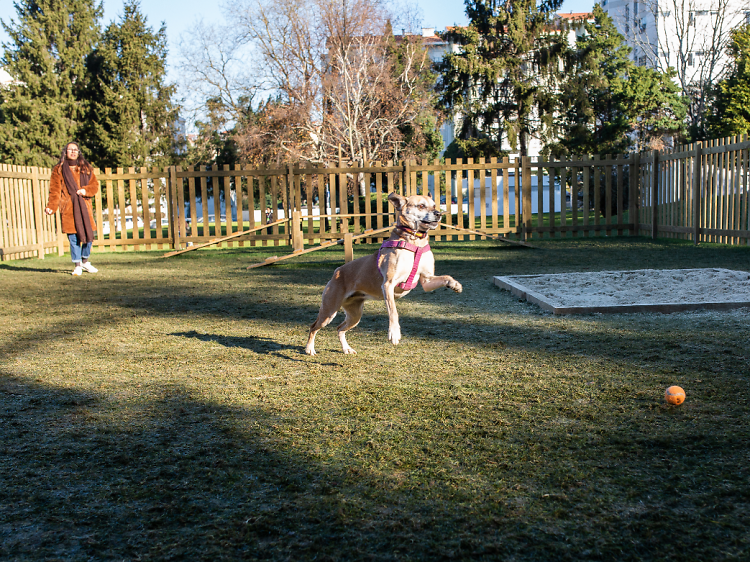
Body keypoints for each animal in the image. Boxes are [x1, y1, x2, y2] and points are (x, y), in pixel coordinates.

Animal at [306, 190, 464, 352]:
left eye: (434, 205)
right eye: (421, 206)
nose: (438, 214)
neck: (414, 242)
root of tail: (337, 271)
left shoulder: (426, 280)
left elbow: (446, 276)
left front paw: (455, 285)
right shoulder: (388, 284)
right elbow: (393, 311)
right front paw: (394, 333)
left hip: (354, 315)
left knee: (339, 328)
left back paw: (346, 349)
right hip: (329, 310)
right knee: (313, 327)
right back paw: (309, 349)